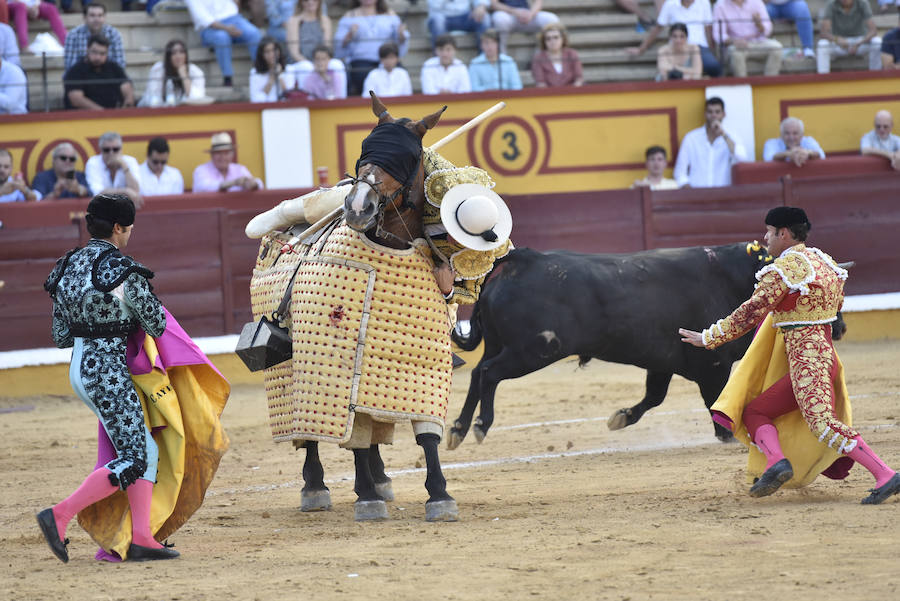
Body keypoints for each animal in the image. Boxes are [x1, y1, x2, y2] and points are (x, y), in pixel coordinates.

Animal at [249, 93, 458, 522]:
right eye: (366, 152)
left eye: (406, 158)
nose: (359, 207)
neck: (389, 245)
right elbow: (352, 433)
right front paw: (366, 498)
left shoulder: (425, 366)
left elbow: (425, 434)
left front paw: (439, 494)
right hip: (294, 368)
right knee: (310, 432)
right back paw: (317, 487)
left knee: (371, 425)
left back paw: (380, 478)